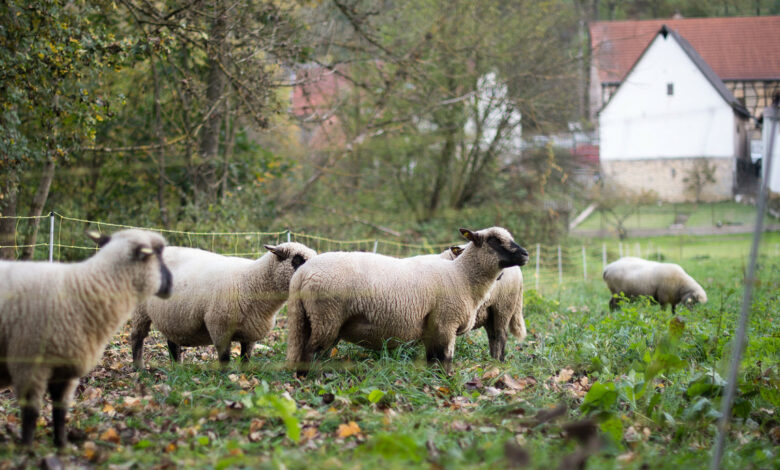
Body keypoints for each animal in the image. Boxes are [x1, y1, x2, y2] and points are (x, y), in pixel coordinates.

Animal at [0, 229, 172, 446]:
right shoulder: (29, 365)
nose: (171, 284)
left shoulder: (66, 368)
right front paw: (28, 448)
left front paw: (62, 445)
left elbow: (60, 409)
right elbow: (30, 413)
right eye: (158, 255)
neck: (83, 288)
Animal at [131, 241, 316, 370]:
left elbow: (246, 356)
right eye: (298, 260)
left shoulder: (250, 332)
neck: (251, 281)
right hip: (141, 310)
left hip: (172, 315)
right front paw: (226, 376)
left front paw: (244, 373)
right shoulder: (219, 326)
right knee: (137, 338)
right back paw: (139, 367)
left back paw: (177, 367)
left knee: (172, 343)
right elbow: (225, 357)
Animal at [286, 227, 532, 374]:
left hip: (312, 318)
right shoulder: (445, 323)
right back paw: (309, 378)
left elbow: (434, 358)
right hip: (326, 316)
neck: (462, 276)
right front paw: (446, 383)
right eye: (494, 240)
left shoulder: (434, 327)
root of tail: (302, 273)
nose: (525, 254)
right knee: (310, 351)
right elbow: (445, 358)